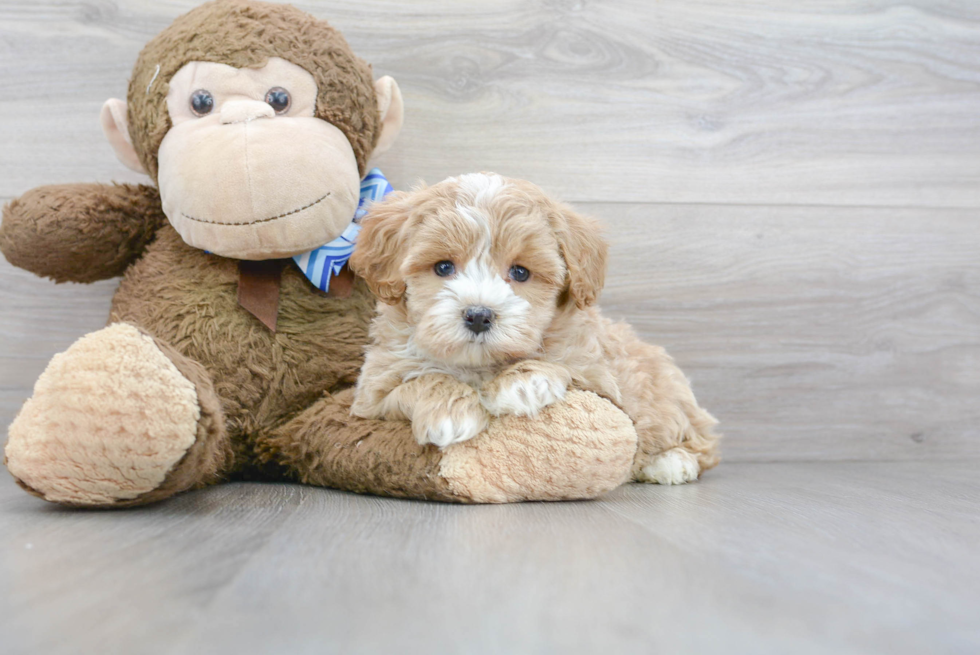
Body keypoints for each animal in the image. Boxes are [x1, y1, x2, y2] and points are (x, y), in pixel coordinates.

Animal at [348, 173, 716, 482]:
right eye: (443, 267)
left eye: (521, 272)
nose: (479, 315)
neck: (479, 366)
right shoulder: (370, 399)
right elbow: (421, 380)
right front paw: (449, 413)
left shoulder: (606, 388)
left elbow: (566, 367)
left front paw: (523, 382)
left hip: (669, 397)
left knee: (701, 439)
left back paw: (672, 462)